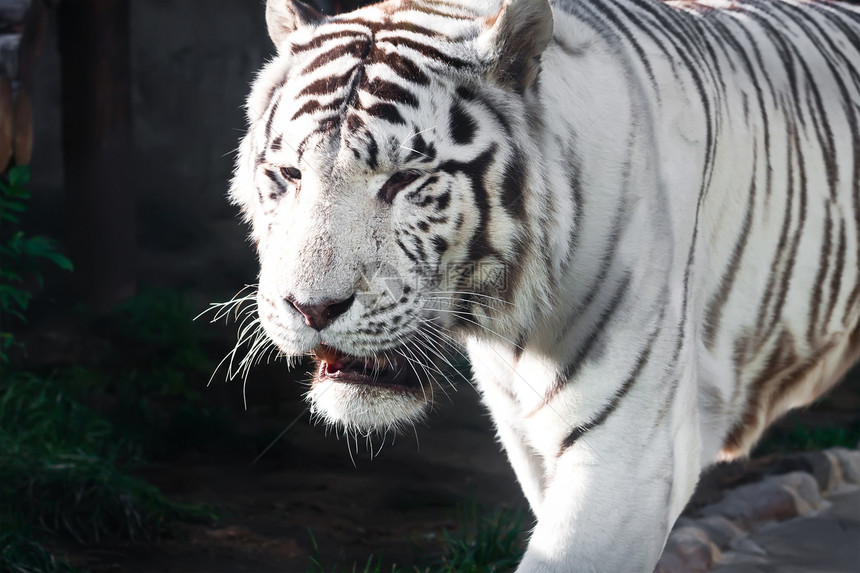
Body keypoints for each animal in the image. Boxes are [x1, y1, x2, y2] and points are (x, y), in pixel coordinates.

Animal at [228, 2, 860, 568]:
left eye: (406, 179)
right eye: (290, 174)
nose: (312, 309)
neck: (512, 318)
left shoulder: (631, 454)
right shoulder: (529, 440)